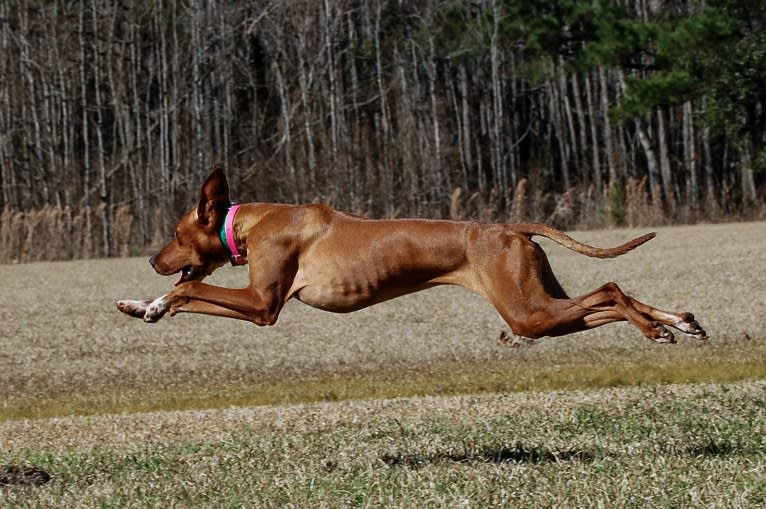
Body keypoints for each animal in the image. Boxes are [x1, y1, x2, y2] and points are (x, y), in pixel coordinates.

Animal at [117, 167, 712, 342]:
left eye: (175, 233)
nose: (150, 260)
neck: (251, 222)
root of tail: (507, 226)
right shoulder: (257, 302)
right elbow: (185, 294)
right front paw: (141, 304)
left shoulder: (264, 304)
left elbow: (192, 287)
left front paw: (156, 300)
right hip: (538, 304)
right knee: (605, 299)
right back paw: (677, 321)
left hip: (527, 310)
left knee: (610, 289)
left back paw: (655, 327)